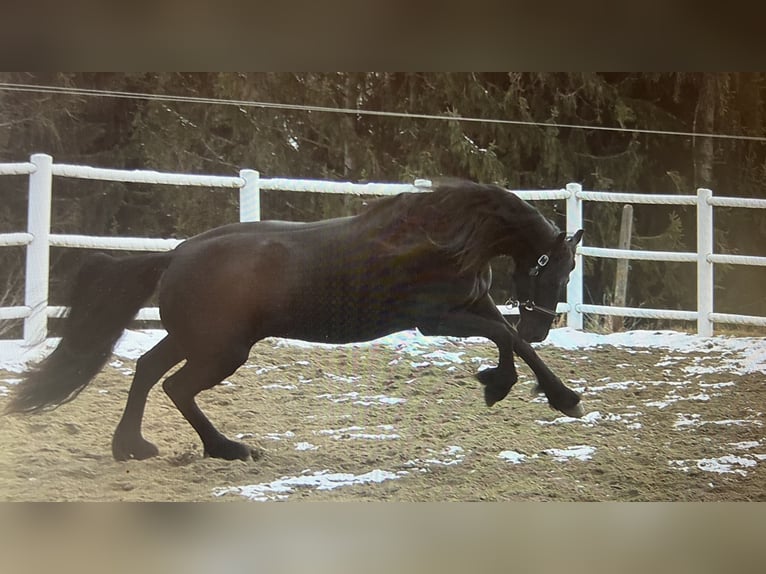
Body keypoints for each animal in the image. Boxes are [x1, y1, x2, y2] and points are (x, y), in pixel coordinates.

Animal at [6, 181, 584, 464]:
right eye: (552, 267)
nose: (542, 325)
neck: (447, 237)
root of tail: (174, 257)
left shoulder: (473, 308)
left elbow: (513, 342)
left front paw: (550, 394)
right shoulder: (437, 320)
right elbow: (505, 337)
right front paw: (515, 388)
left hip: (196, 340)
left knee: (147, 371)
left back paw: (133, 447)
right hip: (221, 351)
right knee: (176, 386)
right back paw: (229, 449)